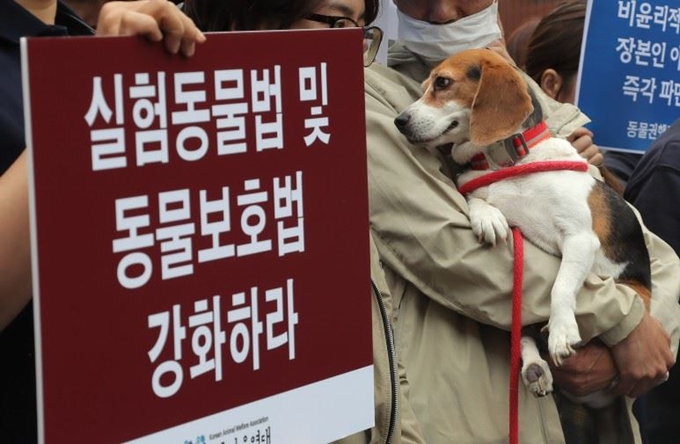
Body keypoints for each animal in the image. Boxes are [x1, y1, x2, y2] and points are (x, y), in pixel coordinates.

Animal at [396, 49, 652, 406]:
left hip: (636, 292)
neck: (506, 162)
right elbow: (475, 198)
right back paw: (534, 366)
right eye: (423, 86)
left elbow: (560, 287)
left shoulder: (579, 239)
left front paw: (561, 331)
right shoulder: (475, 187)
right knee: (523, 335)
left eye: (442, 83)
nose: (399, 121)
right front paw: (488, 216)